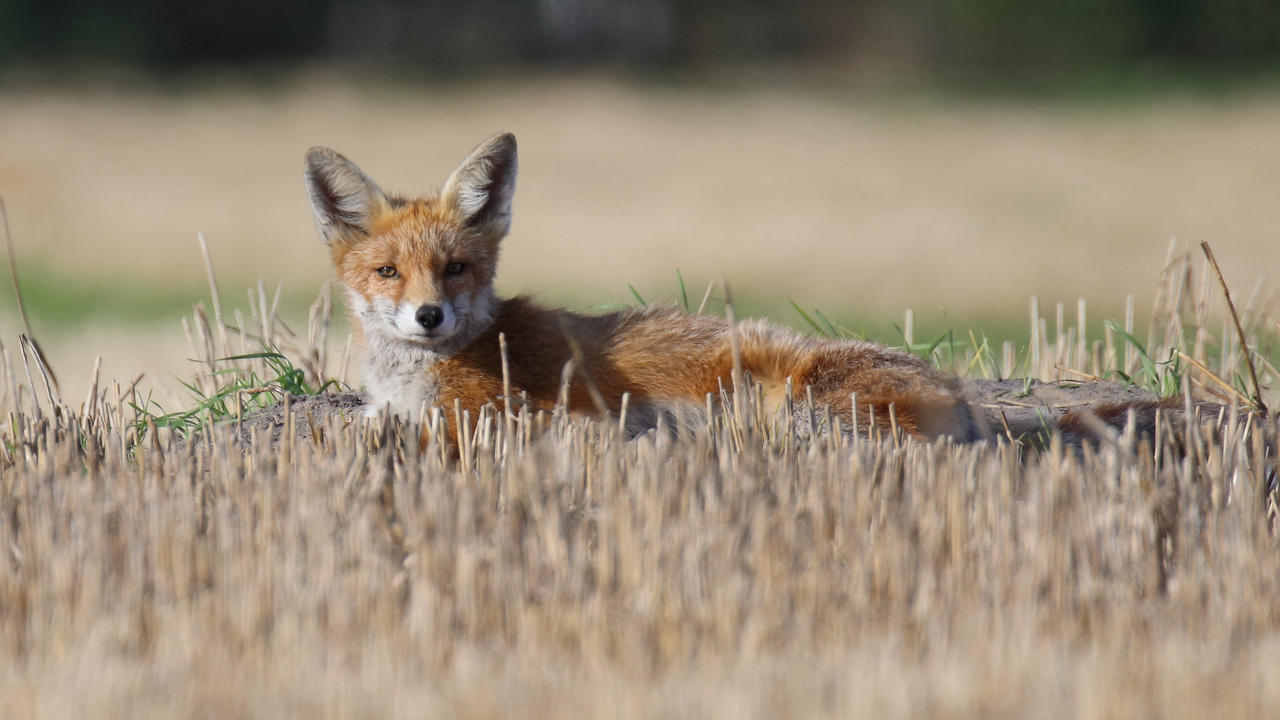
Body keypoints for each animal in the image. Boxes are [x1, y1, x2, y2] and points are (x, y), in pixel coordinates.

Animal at [302, 129, 1198, 443]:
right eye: (388, 272)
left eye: (456, 267)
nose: (427, 314)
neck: (420, 371)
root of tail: (962, 389)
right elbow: (368, 420)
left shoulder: (519, 411)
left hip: (808, 401)